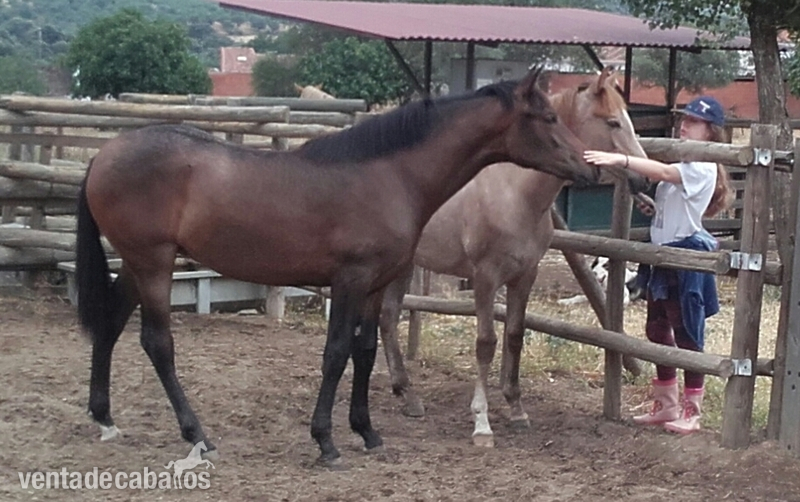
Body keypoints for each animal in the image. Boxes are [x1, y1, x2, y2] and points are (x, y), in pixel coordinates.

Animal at [75, 67, 605, 466]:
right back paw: (197, 434)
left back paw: (105, 420)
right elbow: (335, 354)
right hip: (153, 263)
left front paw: (366, 431)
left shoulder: (374, 285)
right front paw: (326, 441)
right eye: (548, 116)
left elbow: (365, 352)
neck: (388, 174)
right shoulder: (349, 280)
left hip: (137, 264)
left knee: (110, 324)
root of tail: (103, 154)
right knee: (157, 343)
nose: (590, 167)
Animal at [377, 67, 649, 446]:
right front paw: (482, 422)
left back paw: (408, 396)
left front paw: (517, 409)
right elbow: (485, 343)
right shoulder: (485, 277)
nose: (644, 178)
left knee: (387, 319)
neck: (515, 192)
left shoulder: (525, 275)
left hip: (402, 267)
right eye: (612, 122)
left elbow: (515, 336)